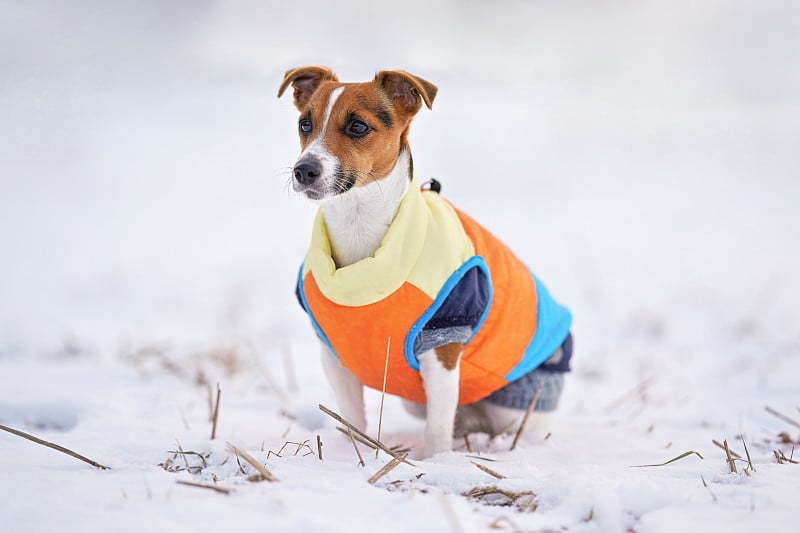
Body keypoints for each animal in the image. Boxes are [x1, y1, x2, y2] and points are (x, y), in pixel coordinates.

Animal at [278, 67, 572, 458]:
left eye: (358, 126)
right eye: (305, 124)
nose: (304, 170)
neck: (360, 232)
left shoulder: (443, 345)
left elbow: (437, 429)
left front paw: (436, 462)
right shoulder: (334, 357)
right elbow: (352, 419)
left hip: (515, 404)